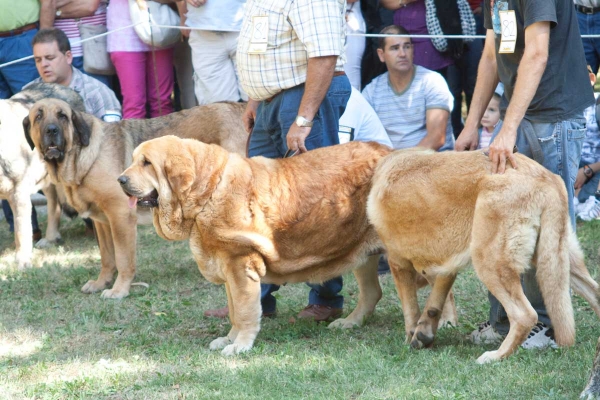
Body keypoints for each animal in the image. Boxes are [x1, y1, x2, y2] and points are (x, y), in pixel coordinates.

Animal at [23, 99, 248, 300]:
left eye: (62, 115)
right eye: (38, 116)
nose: (51, 130)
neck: (81, 157)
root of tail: (242, 109)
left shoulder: (121, 218)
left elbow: (123, 259)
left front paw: (119, 290)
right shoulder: (101, 222)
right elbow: (107, 257)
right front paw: (101, 282)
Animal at [120, 136, 394, 354]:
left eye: (147, 163)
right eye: (133, 160)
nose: (120, 179)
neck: (208, 191)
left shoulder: (241, 265)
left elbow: (244, 311)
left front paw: (240, 345)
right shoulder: (228, 268)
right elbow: (234, 311)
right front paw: (229, 339)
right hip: (363, 254)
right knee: (372, 292)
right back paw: (349, 322)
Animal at [366, 148, 600, 364]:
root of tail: (546, 178)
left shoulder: (398, 263)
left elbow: (411, 310)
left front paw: (411, 337)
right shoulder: (445, 267)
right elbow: (435, 302)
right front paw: (424, 334)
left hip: (489, 263)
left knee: (525, 315)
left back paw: (495, 356)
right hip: (558, 260)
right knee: (594, 293)